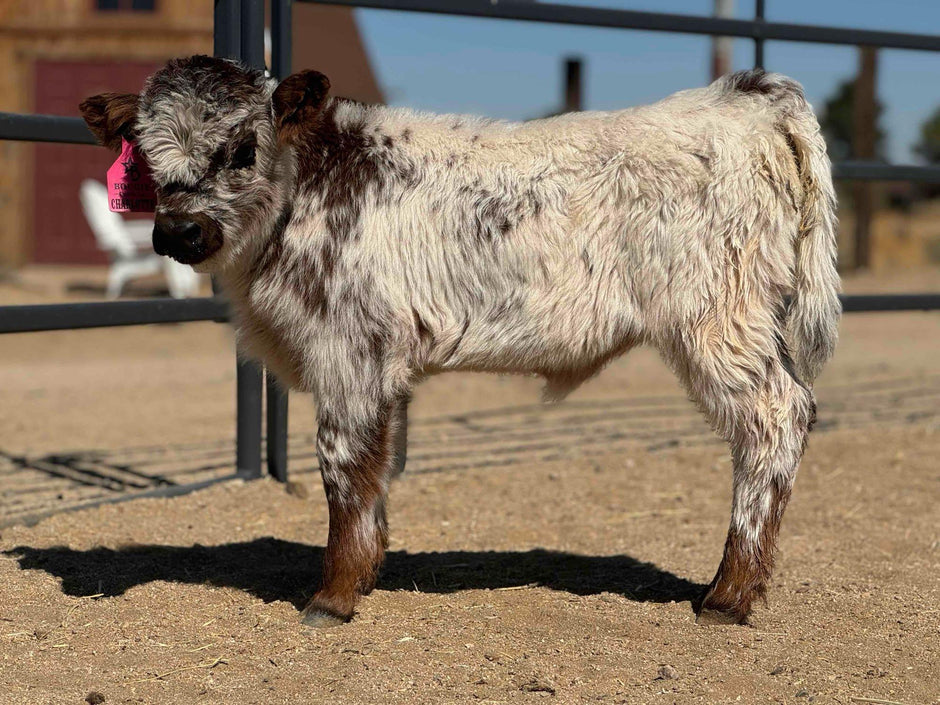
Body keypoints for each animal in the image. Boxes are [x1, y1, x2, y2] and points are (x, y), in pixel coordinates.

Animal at [80, 55, 840, 627]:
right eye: (144, 156)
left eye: (242, 149)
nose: (180, 231)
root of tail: (745, 96)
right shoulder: (380, 366)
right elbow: (377, 470)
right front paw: (366, 574)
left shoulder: (348, 354)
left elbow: (343, 467)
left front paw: (332, 597)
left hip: (717, 320)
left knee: (775, 419)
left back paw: (727, 596)